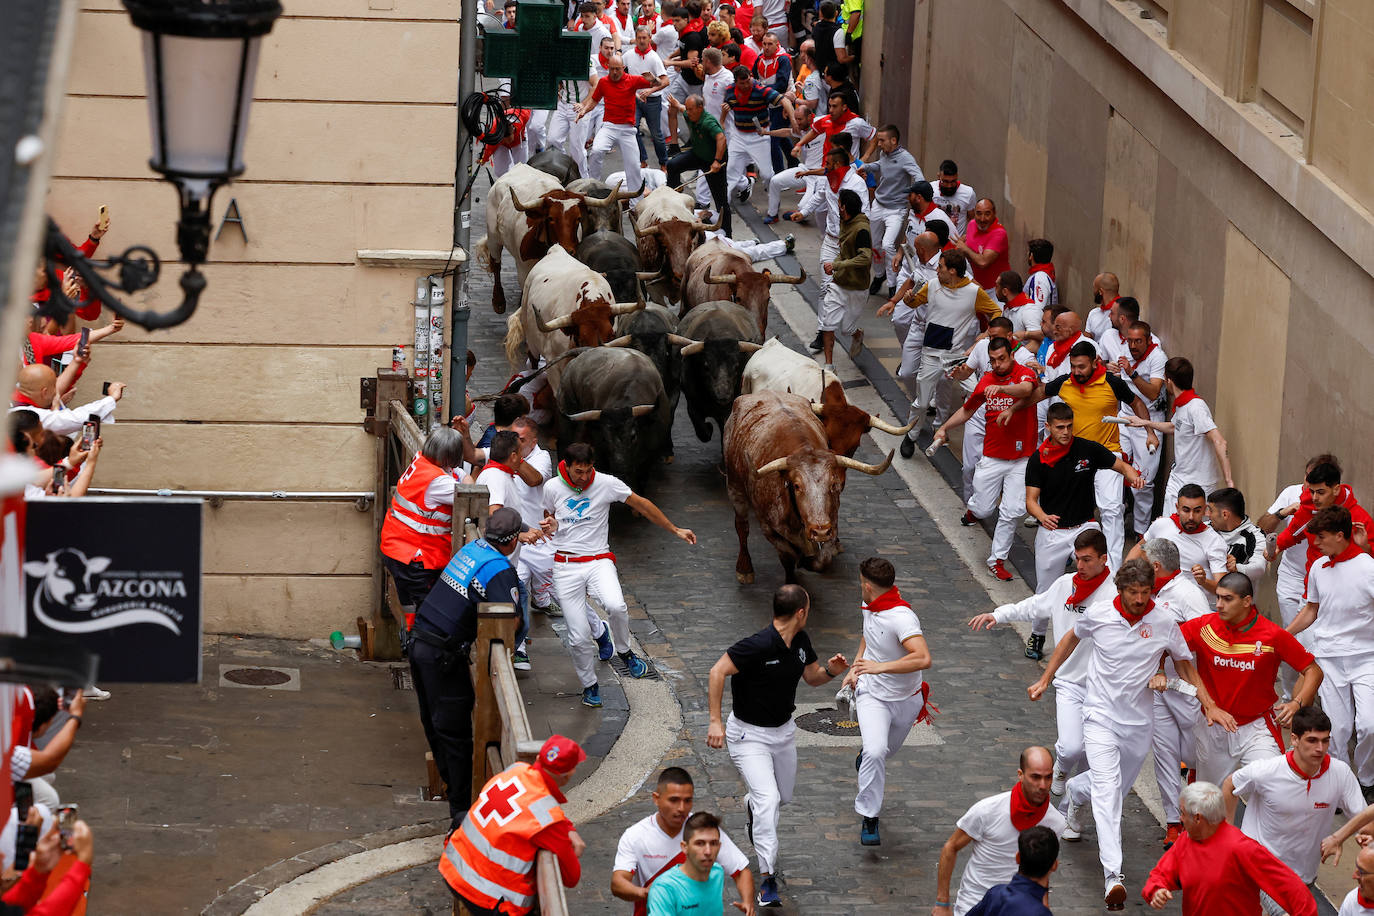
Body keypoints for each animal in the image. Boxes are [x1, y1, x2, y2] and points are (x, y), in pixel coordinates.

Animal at [725, 392, 895, 579]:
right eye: (797, 486)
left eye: (832, 484)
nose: (819, 531)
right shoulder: (769, 528)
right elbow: (789, 556)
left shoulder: (832, 523)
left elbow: (824, 558)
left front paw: (811, 559)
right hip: (734, 487)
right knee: (742, 526)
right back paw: (744, 570)